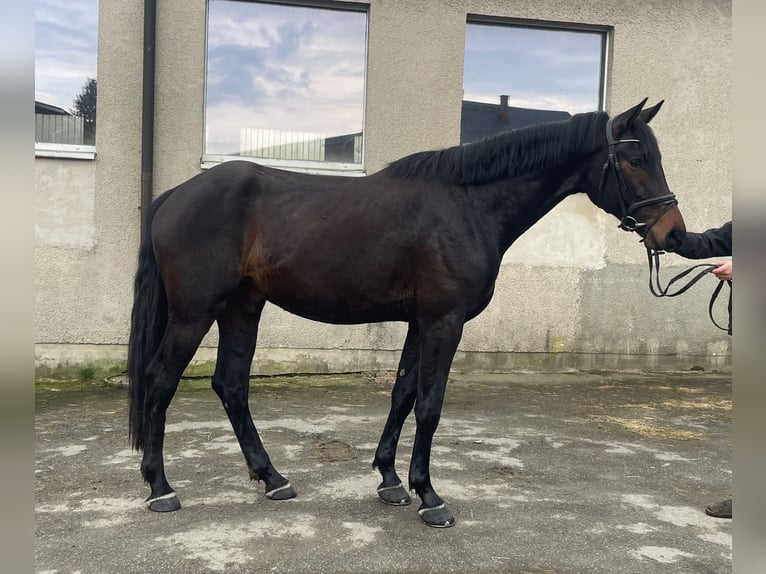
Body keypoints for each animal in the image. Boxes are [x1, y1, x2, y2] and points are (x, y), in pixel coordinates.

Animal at [127, 98, 685, 528]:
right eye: (635, 158)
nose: (674, 233)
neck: (469, 206)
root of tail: (174, 196)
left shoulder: (421, 322)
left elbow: (402, 395)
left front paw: (391, 481)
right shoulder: (444, 322)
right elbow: (429, 406)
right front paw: (429, 497)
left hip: (243, 306)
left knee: (231, 385)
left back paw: (273, 478)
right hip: (195, 312)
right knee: (160, 380)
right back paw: (161, 488)